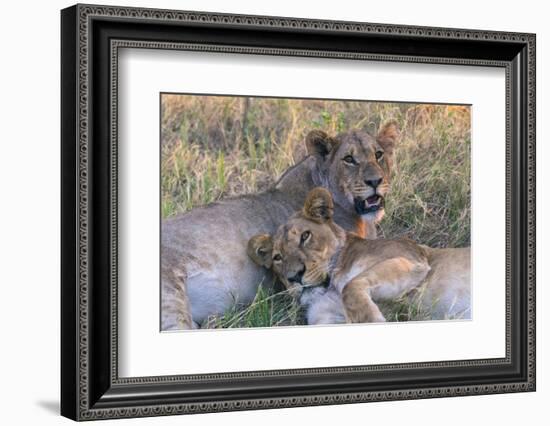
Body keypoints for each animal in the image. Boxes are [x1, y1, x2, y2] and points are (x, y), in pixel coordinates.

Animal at [248, 188, 472, 324]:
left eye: (305, 236)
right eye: (277, 257)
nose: (294, 276)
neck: (330, 288)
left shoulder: (413, 260)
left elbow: (351, 286)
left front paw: (372, 320)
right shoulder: (326, 316)